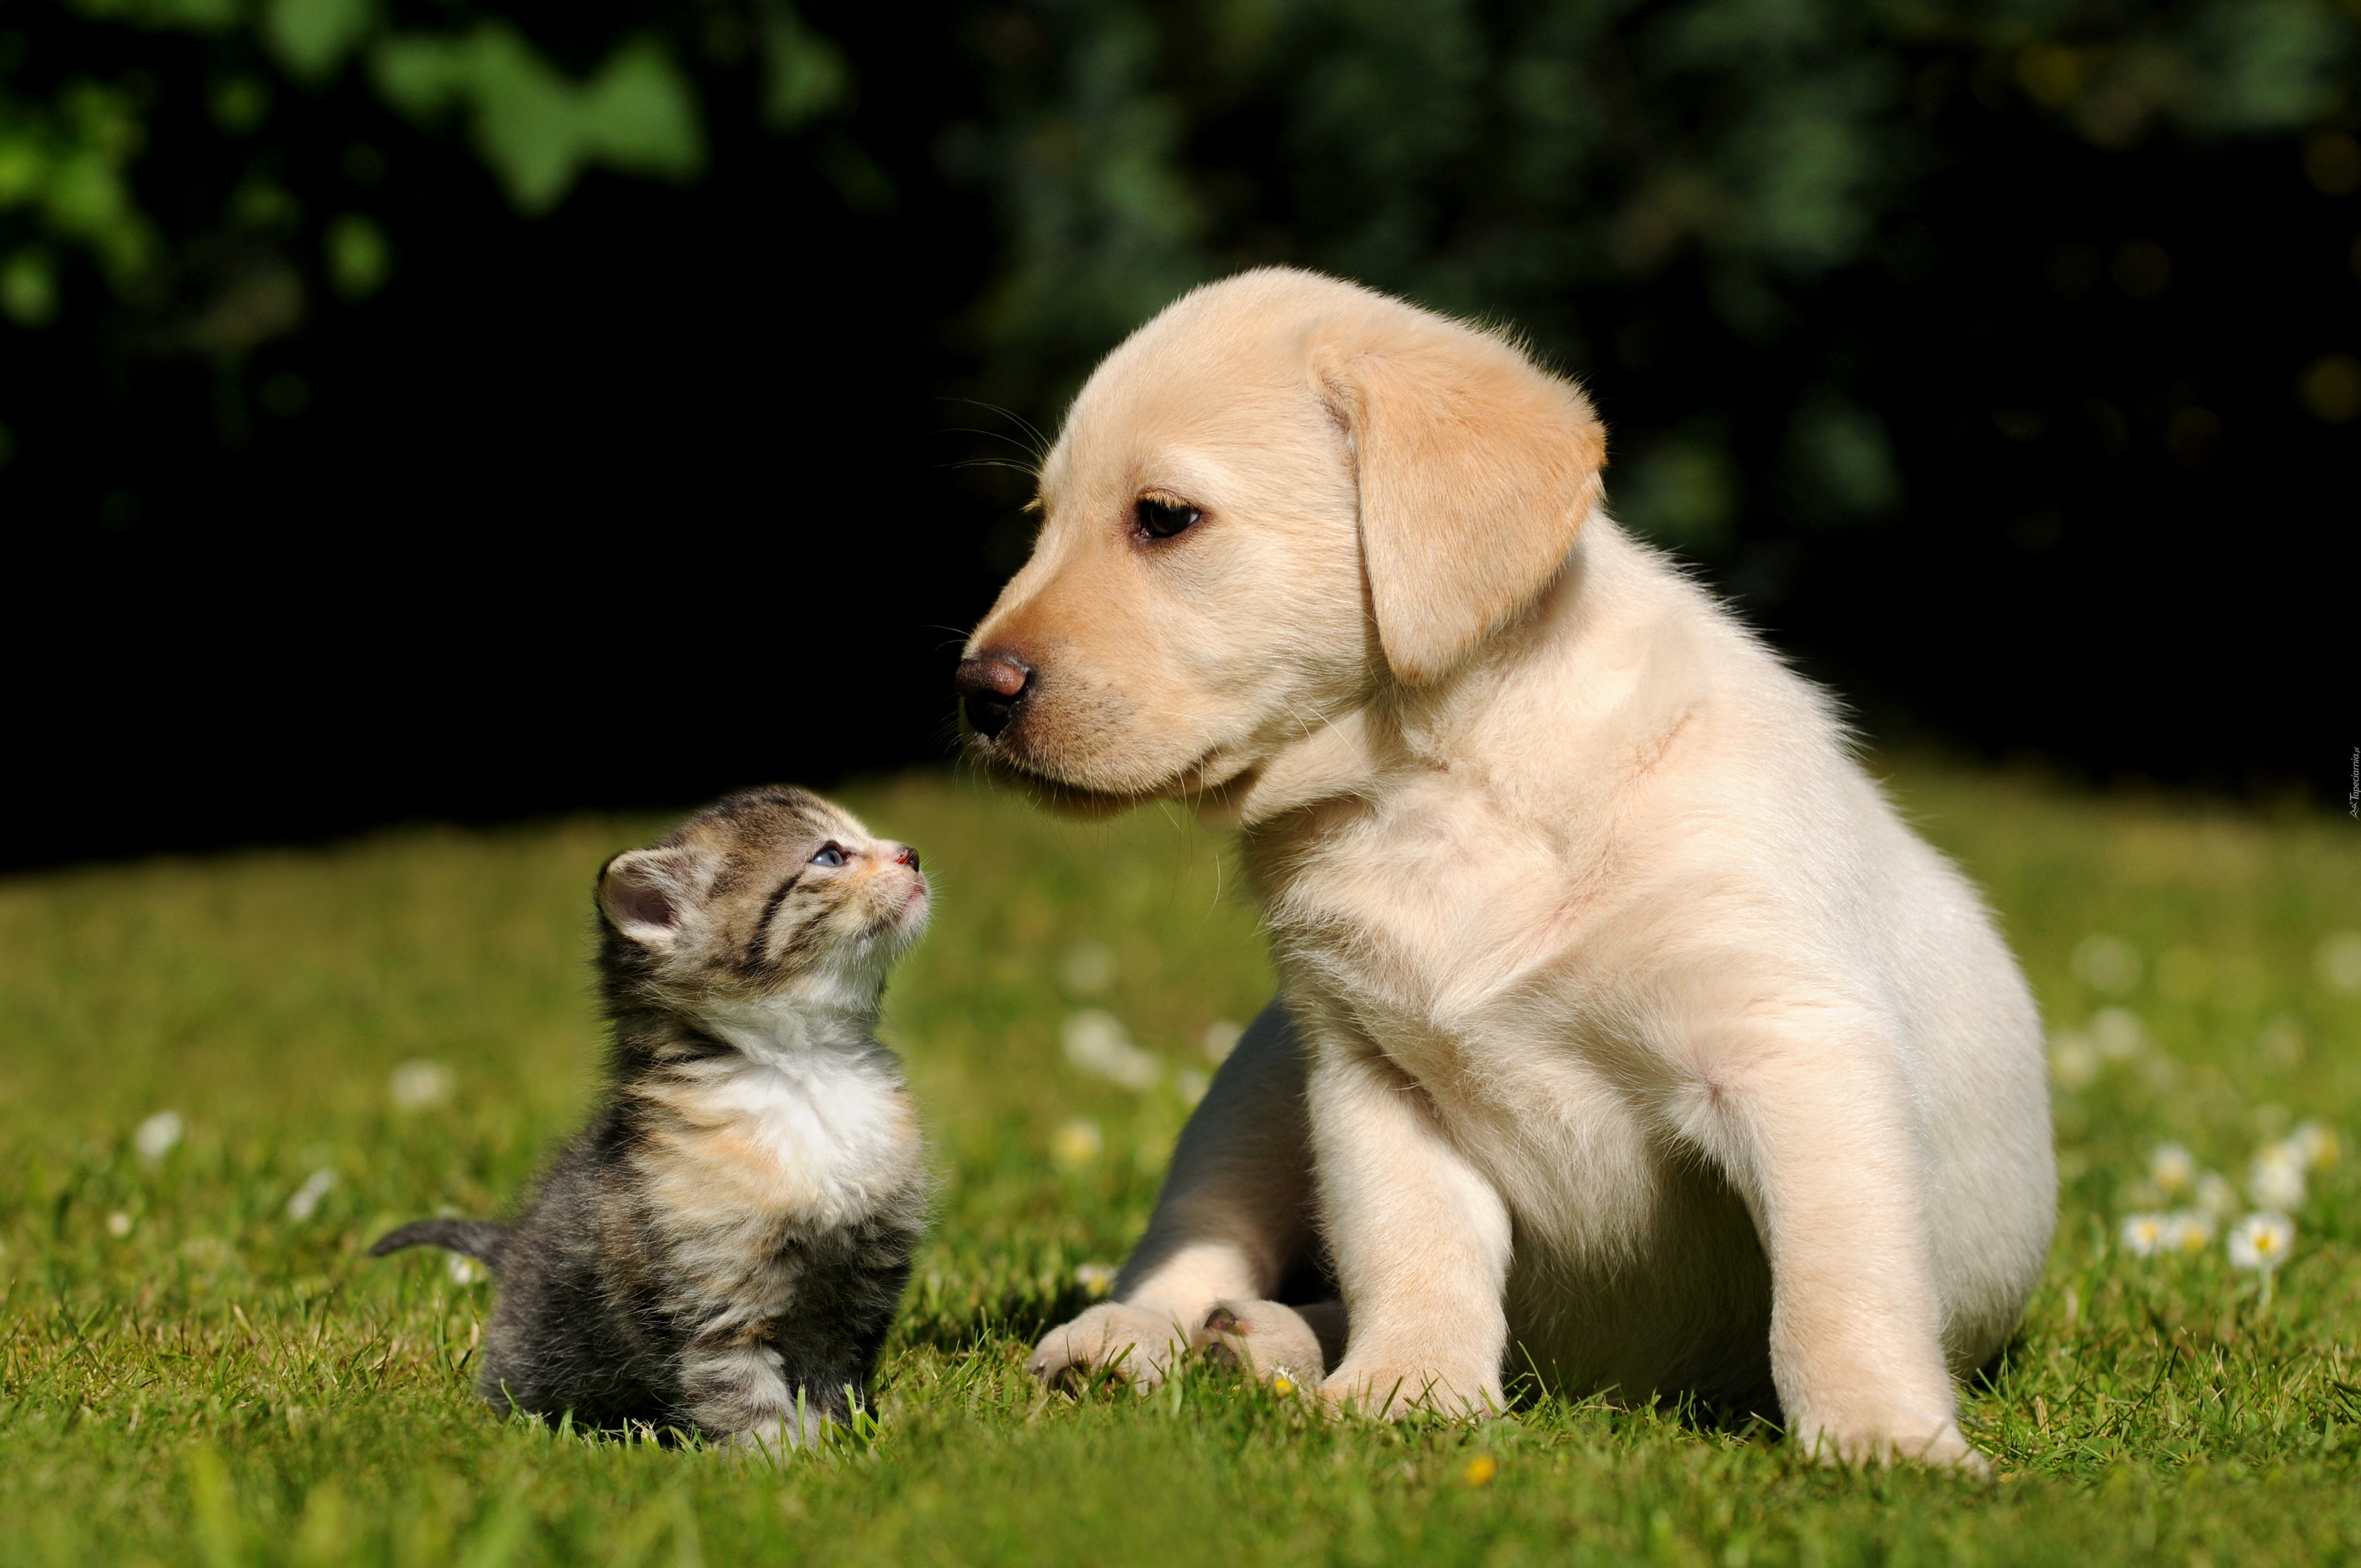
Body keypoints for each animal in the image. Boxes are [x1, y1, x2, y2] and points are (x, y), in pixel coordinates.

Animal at [371, 788, 930, 1454]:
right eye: (829, 855)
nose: (913, 853)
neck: (808, 1072)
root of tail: (512, 1248)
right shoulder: (709, 1296)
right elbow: (742, 1393)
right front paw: (778, 1461)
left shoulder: (856, 1288)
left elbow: (832, 1383)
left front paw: (840, 1450)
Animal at [954, 267, 2049, 1473]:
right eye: (1041, 522)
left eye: (1163, 518)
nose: (975, 691)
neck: (1435, 792)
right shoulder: (1372, 1075)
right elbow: (1414, 1250)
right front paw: (1408, 1392)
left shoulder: (1794, 1050)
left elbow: (1839, 1284)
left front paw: (1883, 1440)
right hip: (1258, 1083)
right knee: (1194, 1244)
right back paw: (1147, 1338)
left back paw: (1263, 1343)